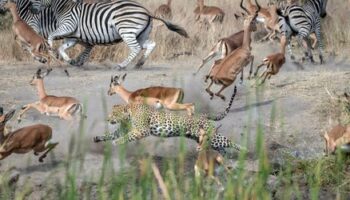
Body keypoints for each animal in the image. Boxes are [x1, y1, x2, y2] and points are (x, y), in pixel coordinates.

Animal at [30, 0, 189, 69]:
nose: (31, 9)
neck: (63, 7)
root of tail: (146, 11)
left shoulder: (68, 25)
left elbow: (51, 35)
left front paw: (51, 49)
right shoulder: (72, 37)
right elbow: (63, 48)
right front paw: (69, 60)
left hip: (127, 30)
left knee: (136, 48)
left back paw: (122, 65)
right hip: (140, 34)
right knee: (151, 44)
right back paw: (140, 63)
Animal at [94, 85, 245, 152]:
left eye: (114, 114)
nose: (108, 120)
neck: (129, 113)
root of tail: (203, 115)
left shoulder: (142, 131)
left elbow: (126, 137)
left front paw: (117, 142)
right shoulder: (124, 129)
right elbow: (111, 134)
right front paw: (98, 138)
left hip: (212, 136)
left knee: (228, 141)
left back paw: (244, 150)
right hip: (204, 139)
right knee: (220, 147)